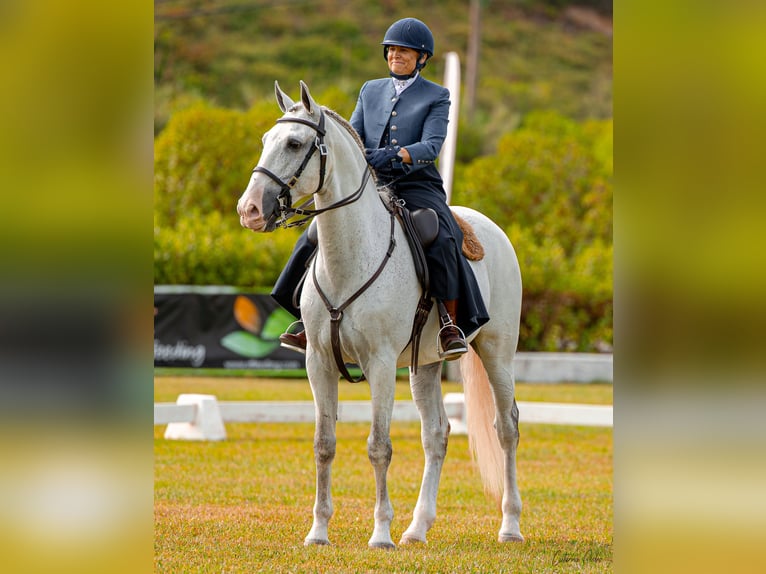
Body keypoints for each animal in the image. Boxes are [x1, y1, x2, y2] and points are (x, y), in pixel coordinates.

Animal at [237, 81, 523, 548]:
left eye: (294, 143)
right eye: (265, 140)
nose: (250, 210)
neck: (351, 255)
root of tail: (489, 228)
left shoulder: (382, 363)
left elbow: (379, 446)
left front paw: (380, 533)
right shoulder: (317, 362)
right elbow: (324, 443)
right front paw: (318, 531)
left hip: (497, 353)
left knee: (507, 428)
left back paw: (510, 525)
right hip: (425, 364)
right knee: (436, 435)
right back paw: (417, 528)